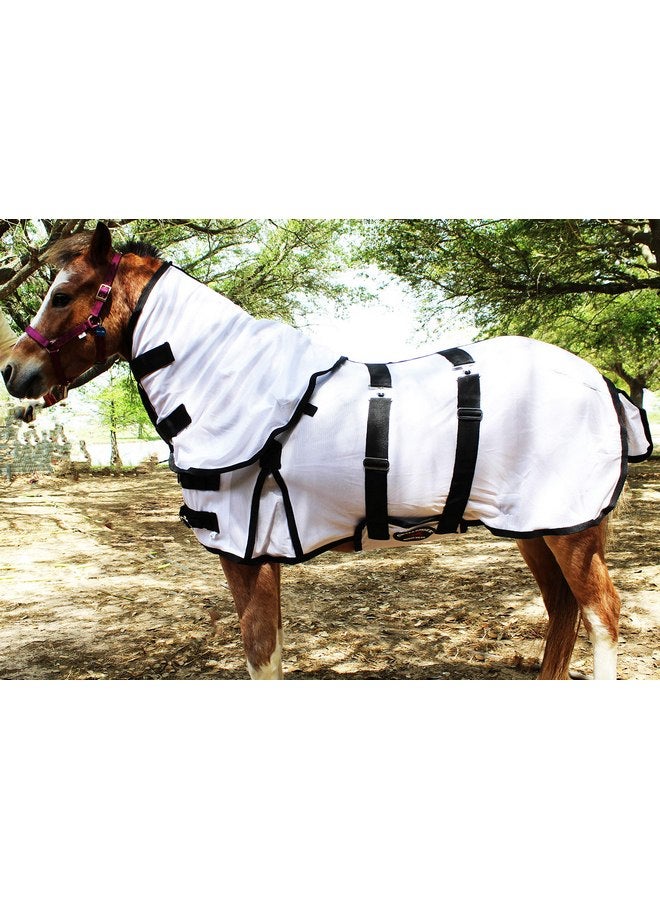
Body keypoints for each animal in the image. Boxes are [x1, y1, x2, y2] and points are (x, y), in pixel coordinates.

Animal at [2, 223, 652, 680]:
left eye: (61, 295)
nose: (13, 371)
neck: (228, 380)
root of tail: (599, 382)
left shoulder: (245, 554)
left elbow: (260, 656)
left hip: (570, 532)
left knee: (602, 615)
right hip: (533, 528)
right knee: (563, 610)